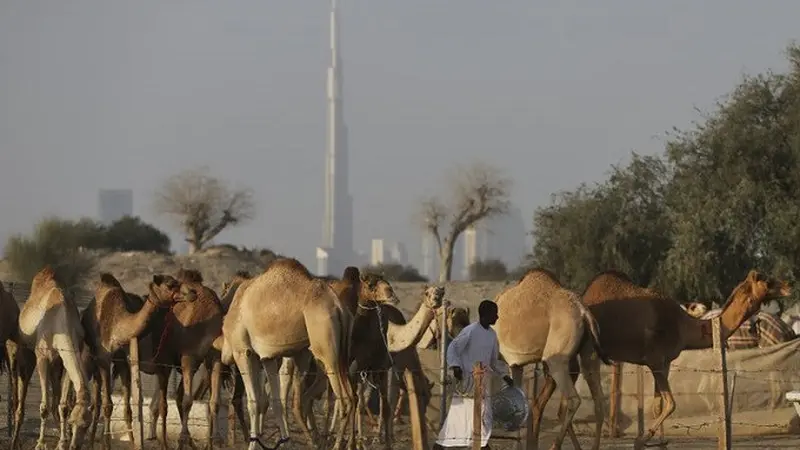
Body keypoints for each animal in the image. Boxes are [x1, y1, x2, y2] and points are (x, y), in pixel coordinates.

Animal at [219, 258, 356, 450]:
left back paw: (335, 444)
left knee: (344, 400)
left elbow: (253, 402)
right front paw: (285, 442)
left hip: (327, 351)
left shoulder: (243, 352)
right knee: (351, 397)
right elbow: (275, 403)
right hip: (343, 353)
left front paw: (253, 444)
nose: (224, 357)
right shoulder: (268, 357)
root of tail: (338, 308)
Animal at [490, 268, 608, 450]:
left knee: (573, 399)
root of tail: (583, 311)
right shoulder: (516, 364)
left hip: (556, 360)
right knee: (598, 402)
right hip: (590, 354)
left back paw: (554, 445)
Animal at [568, 268, 792, 448]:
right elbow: (671, 404)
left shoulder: (665, 362)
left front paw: (656, 442)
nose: (788, 286)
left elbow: (657, 406)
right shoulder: (655, 359)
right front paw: (640, 440)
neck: (684, 326)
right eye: (767, 281)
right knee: (593, 403)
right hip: (588, 352)